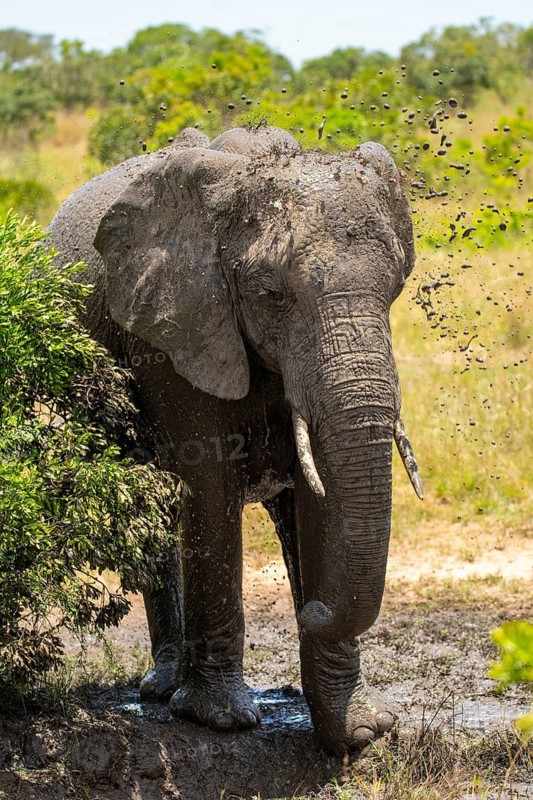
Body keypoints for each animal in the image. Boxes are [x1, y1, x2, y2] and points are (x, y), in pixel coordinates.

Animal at [47, 125, 423, 755]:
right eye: (271, 294)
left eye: (396, 287)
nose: (313, 607)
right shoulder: (176, 328)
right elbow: (208, 482)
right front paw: (218, 719)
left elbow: (318, 497)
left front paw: (357, 731)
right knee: (149, 511)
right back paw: (162, 689)